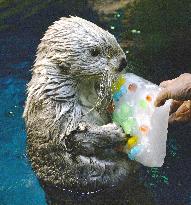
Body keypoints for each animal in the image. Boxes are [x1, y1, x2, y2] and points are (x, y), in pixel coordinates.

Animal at [23, 16, 154, 205]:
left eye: (112, 37)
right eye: (94, 51)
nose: (123, 62)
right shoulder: (57, 116)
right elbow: (78, 139)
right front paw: (115, 132)